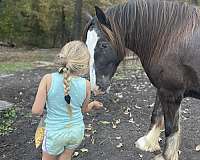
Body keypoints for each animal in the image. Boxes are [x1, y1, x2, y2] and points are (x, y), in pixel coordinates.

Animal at [82, 0, 200, 160]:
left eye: (103, 45)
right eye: (87, 45)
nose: (96, 87)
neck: (170, 37)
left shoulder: (171, 92)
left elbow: (171, 128)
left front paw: (166, 156)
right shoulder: (162, 88)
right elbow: (156, 115)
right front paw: (148, 143)